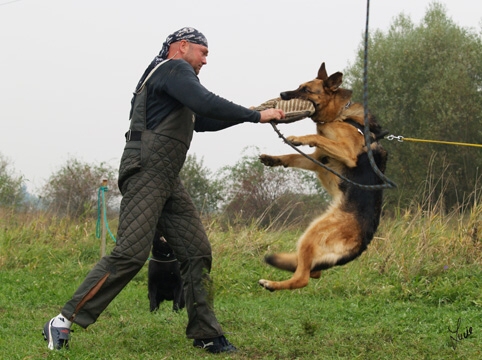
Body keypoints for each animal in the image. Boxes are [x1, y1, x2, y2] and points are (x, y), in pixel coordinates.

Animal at [260, 62, 388, 292]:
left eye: (306, 90)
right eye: (299, 86)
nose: (282, 94)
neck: (340, 115)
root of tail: (362, 244)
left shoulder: (347, 153)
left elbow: (316, 137)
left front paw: (298, 138)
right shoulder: (318, 159)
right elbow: (292, 156)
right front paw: (273, 159)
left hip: (312, 234)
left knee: (303, 278)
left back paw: (272, 284)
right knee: (314, 272)